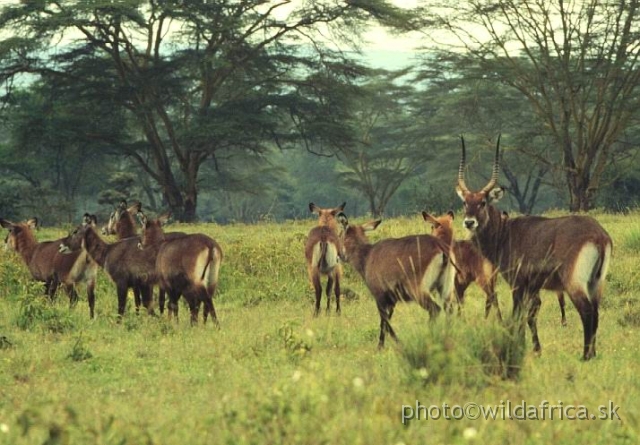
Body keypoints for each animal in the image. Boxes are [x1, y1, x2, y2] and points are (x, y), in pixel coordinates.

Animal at [338, 213, 458, 348]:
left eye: (340, 234)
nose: (339, 255)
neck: (366, 256)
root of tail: (440, 246)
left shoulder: (379, 296)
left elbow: (384, 321)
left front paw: (387, 345)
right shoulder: (392, 300)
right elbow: (386, 321)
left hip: (417, 290)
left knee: (435, 309)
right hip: (446, 287)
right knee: (449, 310)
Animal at [452, 135, 612, 360]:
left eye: (483, 202)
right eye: (465, 202)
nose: (469, 222)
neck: (505, 232)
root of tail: (598, 234)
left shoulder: (518, 284)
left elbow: (517, 317)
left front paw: (518, 348)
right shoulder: (533, 287)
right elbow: (530, 317)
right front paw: (536, 349)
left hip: (574, 283)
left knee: (587, 311)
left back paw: (585, 356)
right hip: (596, 283)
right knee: (596, 312)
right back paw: (593, 354)